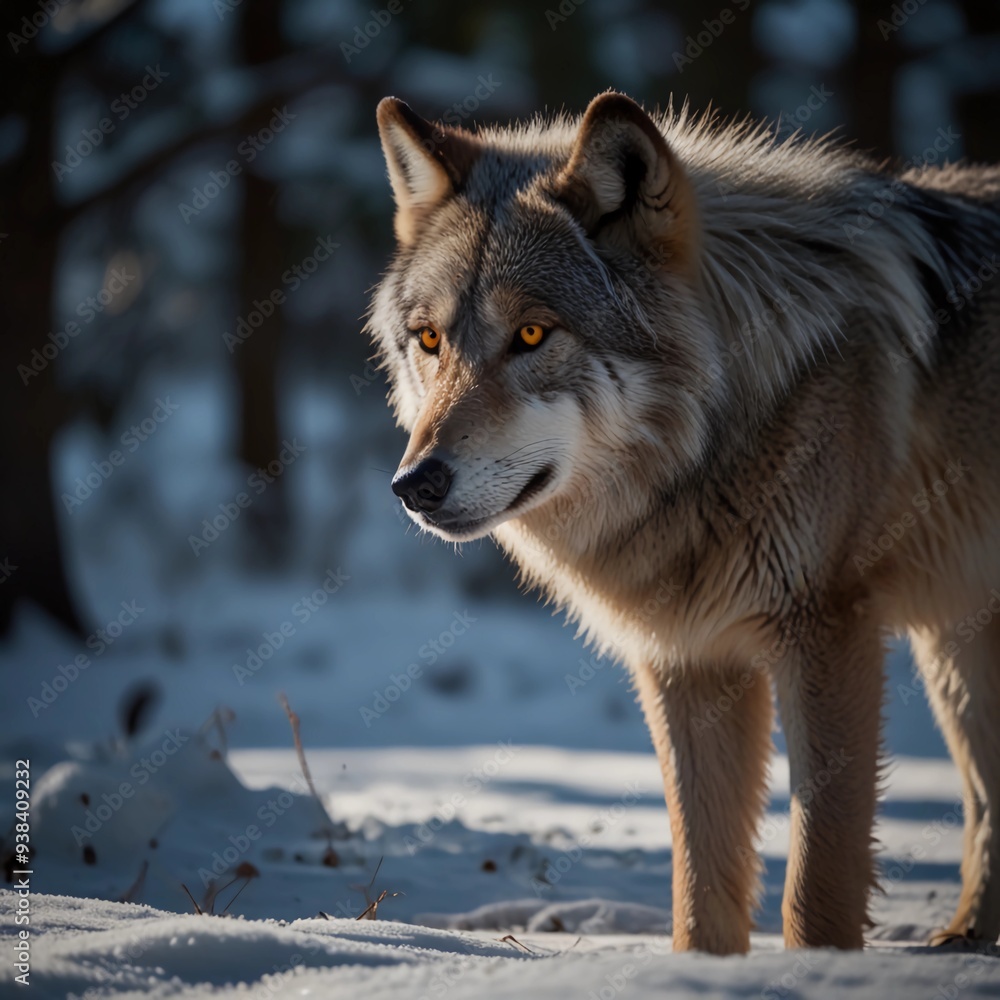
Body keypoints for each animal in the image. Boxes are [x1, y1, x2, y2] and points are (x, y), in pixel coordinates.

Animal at [368, 91, 1000, 954]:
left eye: (531, 333)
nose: (415, 484)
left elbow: (817, 879)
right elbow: (701, 887)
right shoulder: (687, 660)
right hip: (953, 639)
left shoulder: (827, 631)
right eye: (429, 339)